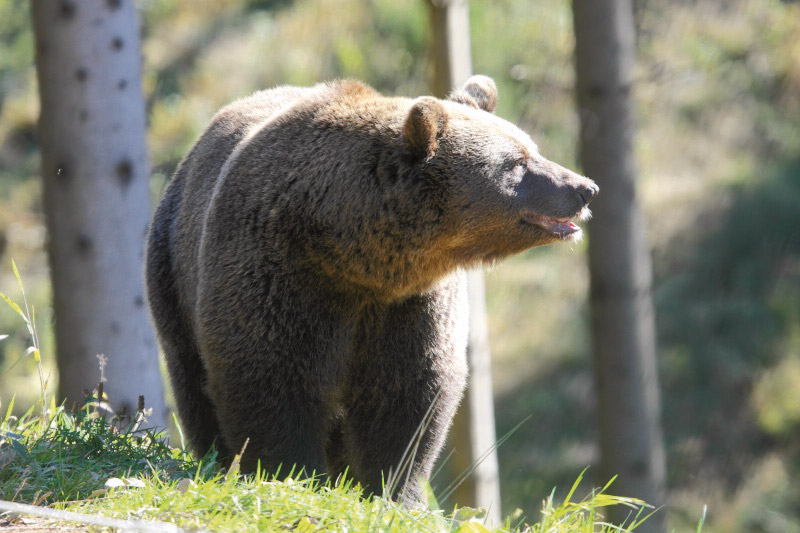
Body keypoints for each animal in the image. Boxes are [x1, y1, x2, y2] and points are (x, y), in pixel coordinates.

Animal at [145, 76, 592, 502]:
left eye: (530, 148)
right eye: (516, 163)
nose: (585, 188)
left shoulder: (411, 304)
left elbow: (407, 396)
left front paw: (393, 491)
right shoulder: (278, 271)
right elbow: (270, 377)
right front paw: (289, 474)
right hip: (171, 272)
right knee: (193, 381)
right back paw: (215, 458)